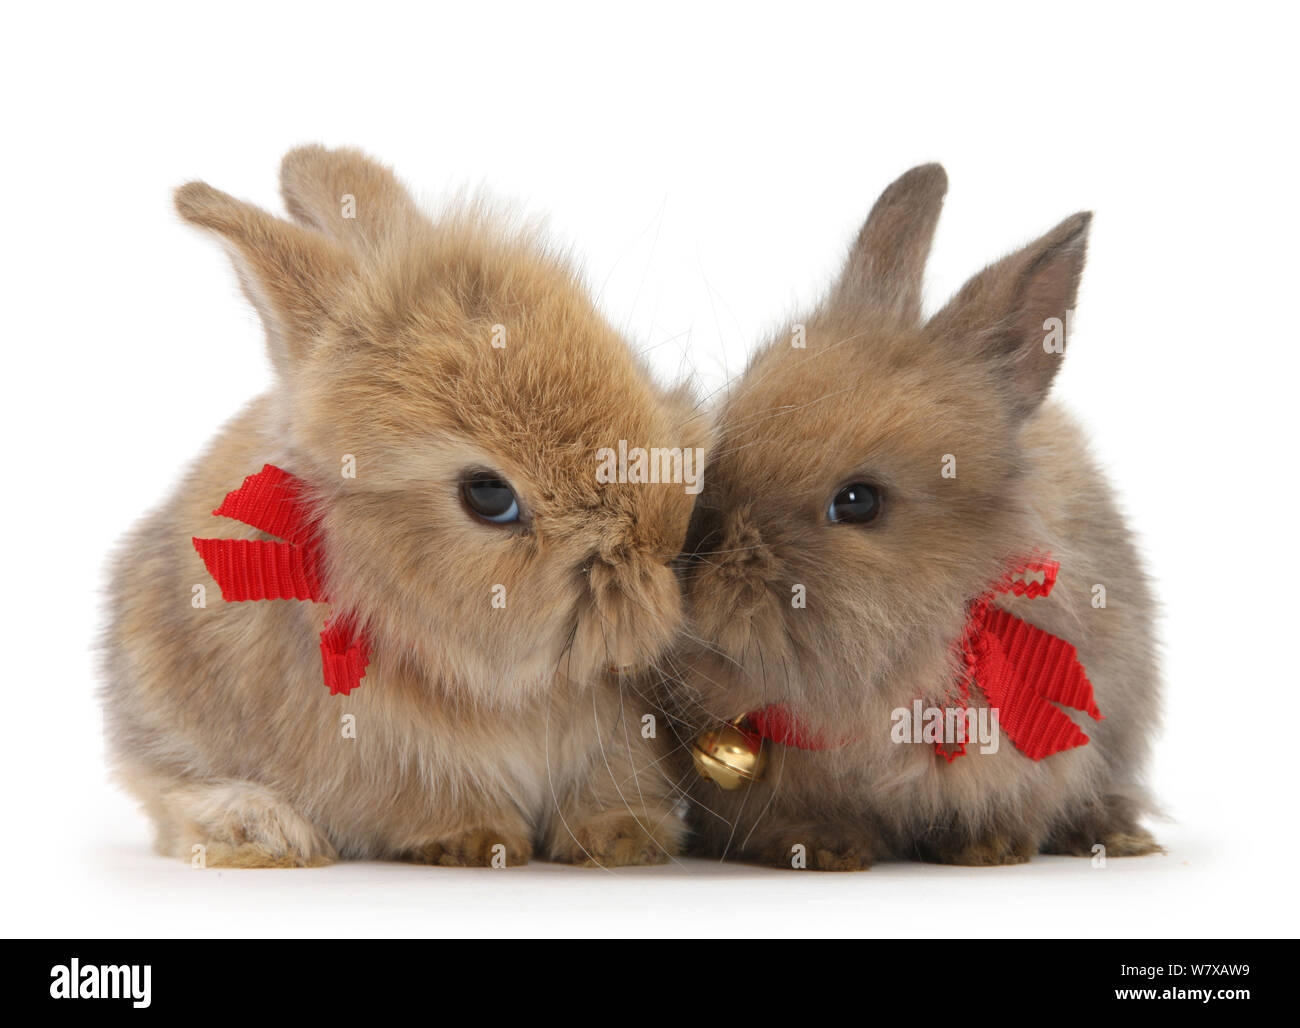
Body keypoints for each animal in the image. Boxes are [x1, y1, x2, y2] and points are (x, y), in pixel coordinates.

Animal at [102, 144, 707, 868]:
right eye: (488, 495)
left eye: (633, 365)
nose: (663, 546)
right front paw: (477, 842)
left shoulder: (621, 745)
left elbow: (611, 792)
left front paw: (622, 841)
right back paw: (264, 828)